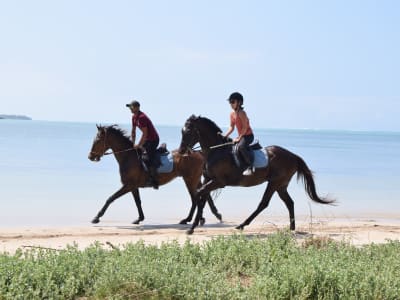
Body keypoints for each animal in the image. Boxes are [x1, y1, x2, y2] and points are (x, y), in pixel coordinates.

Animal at [87, 124, 222, 225]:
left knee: (195, 198)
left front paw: (96, 217)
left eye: (97, 140)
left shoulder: (128, 185)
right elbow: (138, 202)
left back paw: (189, 219)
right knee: (203, 195)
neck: (128, 157)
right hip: (194, 179)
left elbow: (111, 198)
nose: (90, 156)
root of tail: (198, 153)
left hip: (190, 179)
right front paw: (139, 218)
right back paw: (209, 216)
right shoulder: (133, 186)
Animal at [178, 115, 334, 234]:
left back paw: (242, 225)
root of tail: (293, 156)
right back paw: (291, 228)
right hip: (281, 185)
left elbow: (199, 194)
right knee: (289, 202)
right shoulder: (207, 179)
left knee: (263, 203)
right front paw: (195, 222)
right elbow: (202, 197)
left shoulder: (219, 182)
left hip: (274, 183)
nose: (181, 151)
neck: (216, 151)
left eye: (188, 132)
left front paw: (193, 225)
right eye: (182, 132)